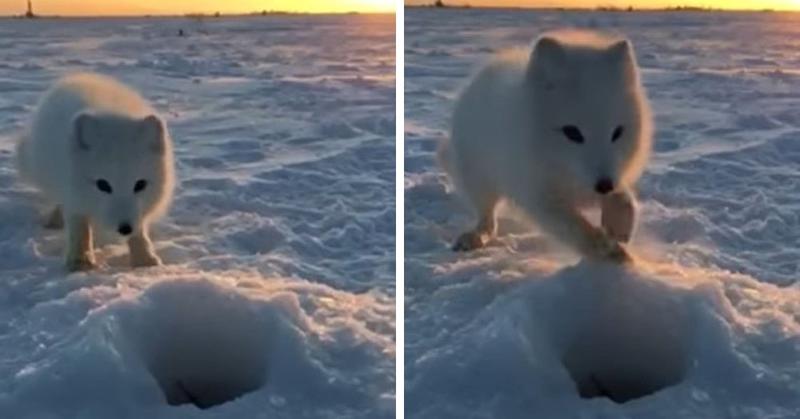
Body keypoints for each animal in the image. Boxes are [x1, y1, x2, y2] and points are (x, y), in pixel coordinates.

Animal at [15, 74, 175, 272]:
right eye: (103, 185)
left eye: (140, 185)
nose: (124, 228)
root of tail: (78, 75)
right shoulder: (73, 194)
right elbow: (79, 227)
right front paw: (80, 261)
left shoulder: (138, 211)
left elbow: (140, 230)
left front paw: (144, 259)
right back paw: (55, 220)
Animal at [440, 31, 652, 262]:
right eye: (572, 132)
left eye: (617, 133)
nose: (604, 185)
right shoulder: (538, 196)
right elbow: (575, 228)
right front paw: (607, 250)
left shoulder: (612, 176)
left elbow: (625, 198)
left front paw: (620, 227)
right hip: (477, 177)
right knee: (487, 217)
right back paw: (475, 236)